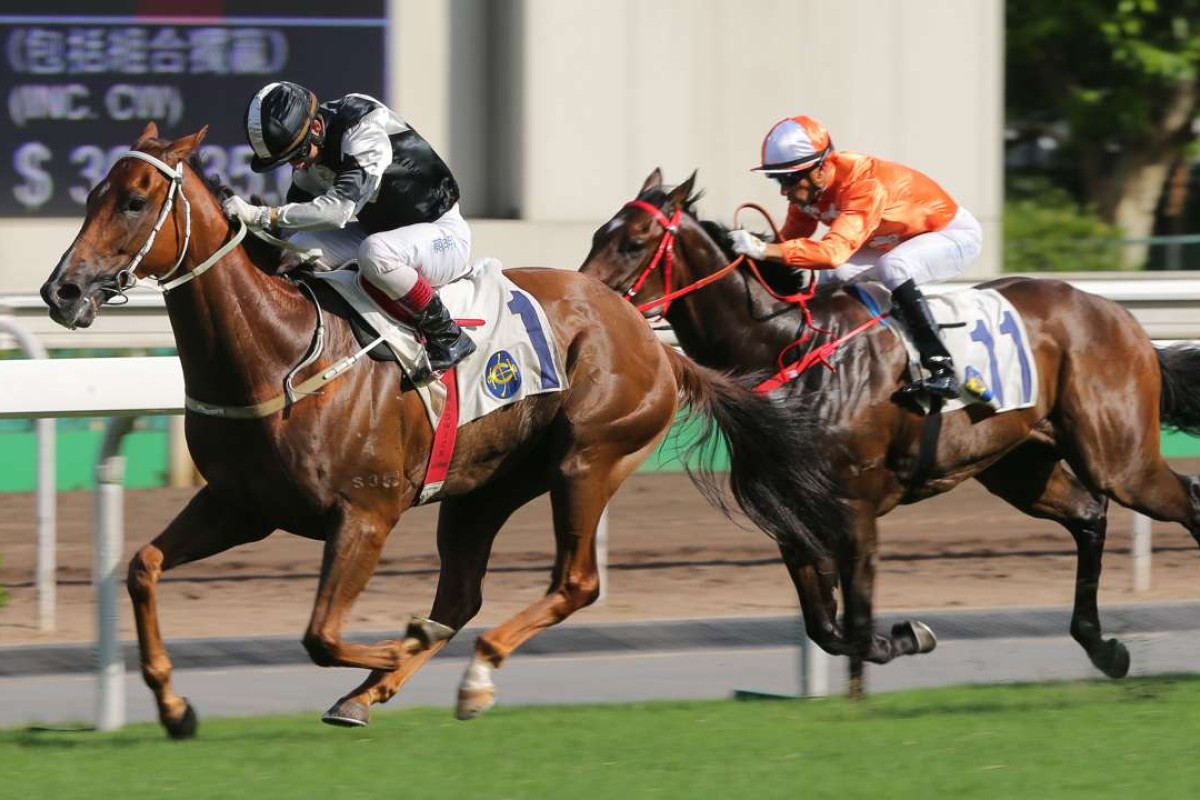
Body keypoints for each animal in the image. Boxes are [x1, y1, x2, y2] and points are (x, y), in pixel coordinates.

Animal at [44, 128, 835, 743]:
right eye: (90, 196)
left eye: (135, 200)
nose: (62, 292)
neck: (280, 351)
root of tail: (651, 339)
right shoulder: (242, 504)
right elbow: (142, 566)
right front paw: (174, 706)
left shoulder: (366, 514)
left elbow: (321, 635)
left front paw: (399, 648)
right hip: (481, 489)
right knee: (459, 597)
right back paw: (374, 693)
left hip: (588, 459)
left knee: (573, 582)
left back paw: (471, 674)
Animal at [580, 167, 1200, 681]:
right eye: (596, 235)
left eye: (634, 242)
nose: (584, 301)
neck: (786, 344)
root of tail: (1119, 315)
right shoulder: (791, 516)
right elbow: (827, 630)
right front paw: (900, 639)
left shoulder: (853, 508)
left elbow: (855, 627)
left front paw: (910, 635)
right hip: (1019, 465)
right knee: (1091, 516)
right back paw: (1102, 646)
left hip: (1119, 459)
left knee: (1181, 498)